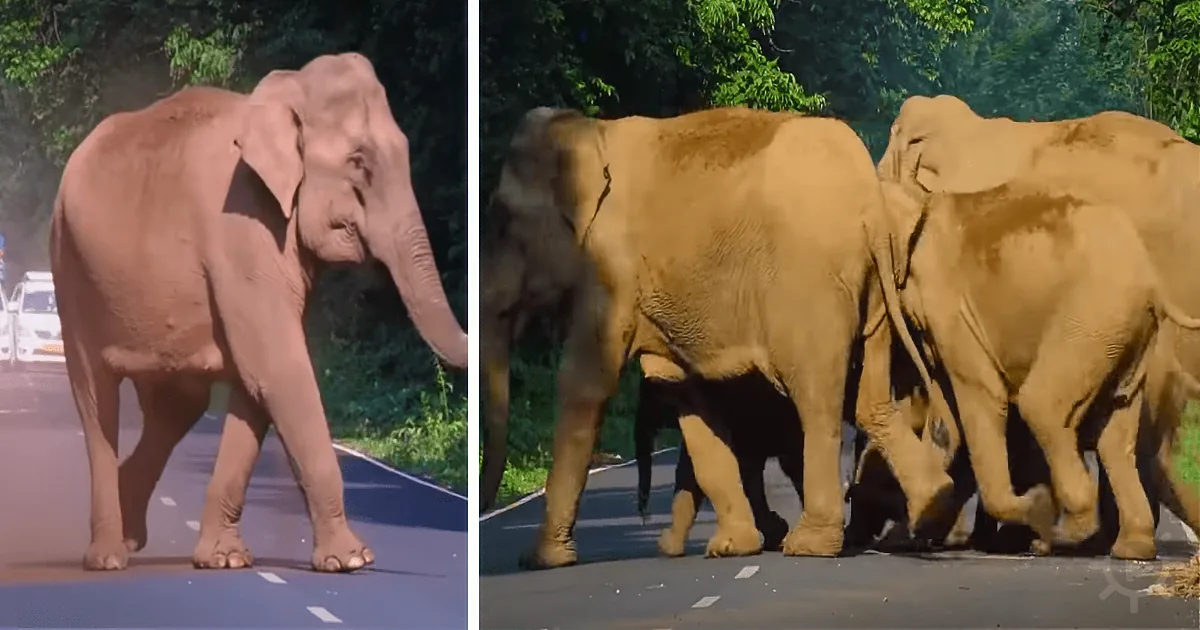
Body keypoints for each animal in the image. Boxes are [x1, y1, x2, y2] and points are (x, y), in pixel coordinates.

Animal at [50, 53, 468, 572]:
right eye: (358, 161)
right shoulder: (241, 227)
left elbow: (256, 383)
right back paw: (107, 557)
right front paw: (353, 561)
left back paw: (129, 536)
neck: (282, 96)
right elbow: (278, 370)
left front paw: (225, 560)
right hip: (70, 271)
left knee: (177, 406)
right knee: (96, 398)